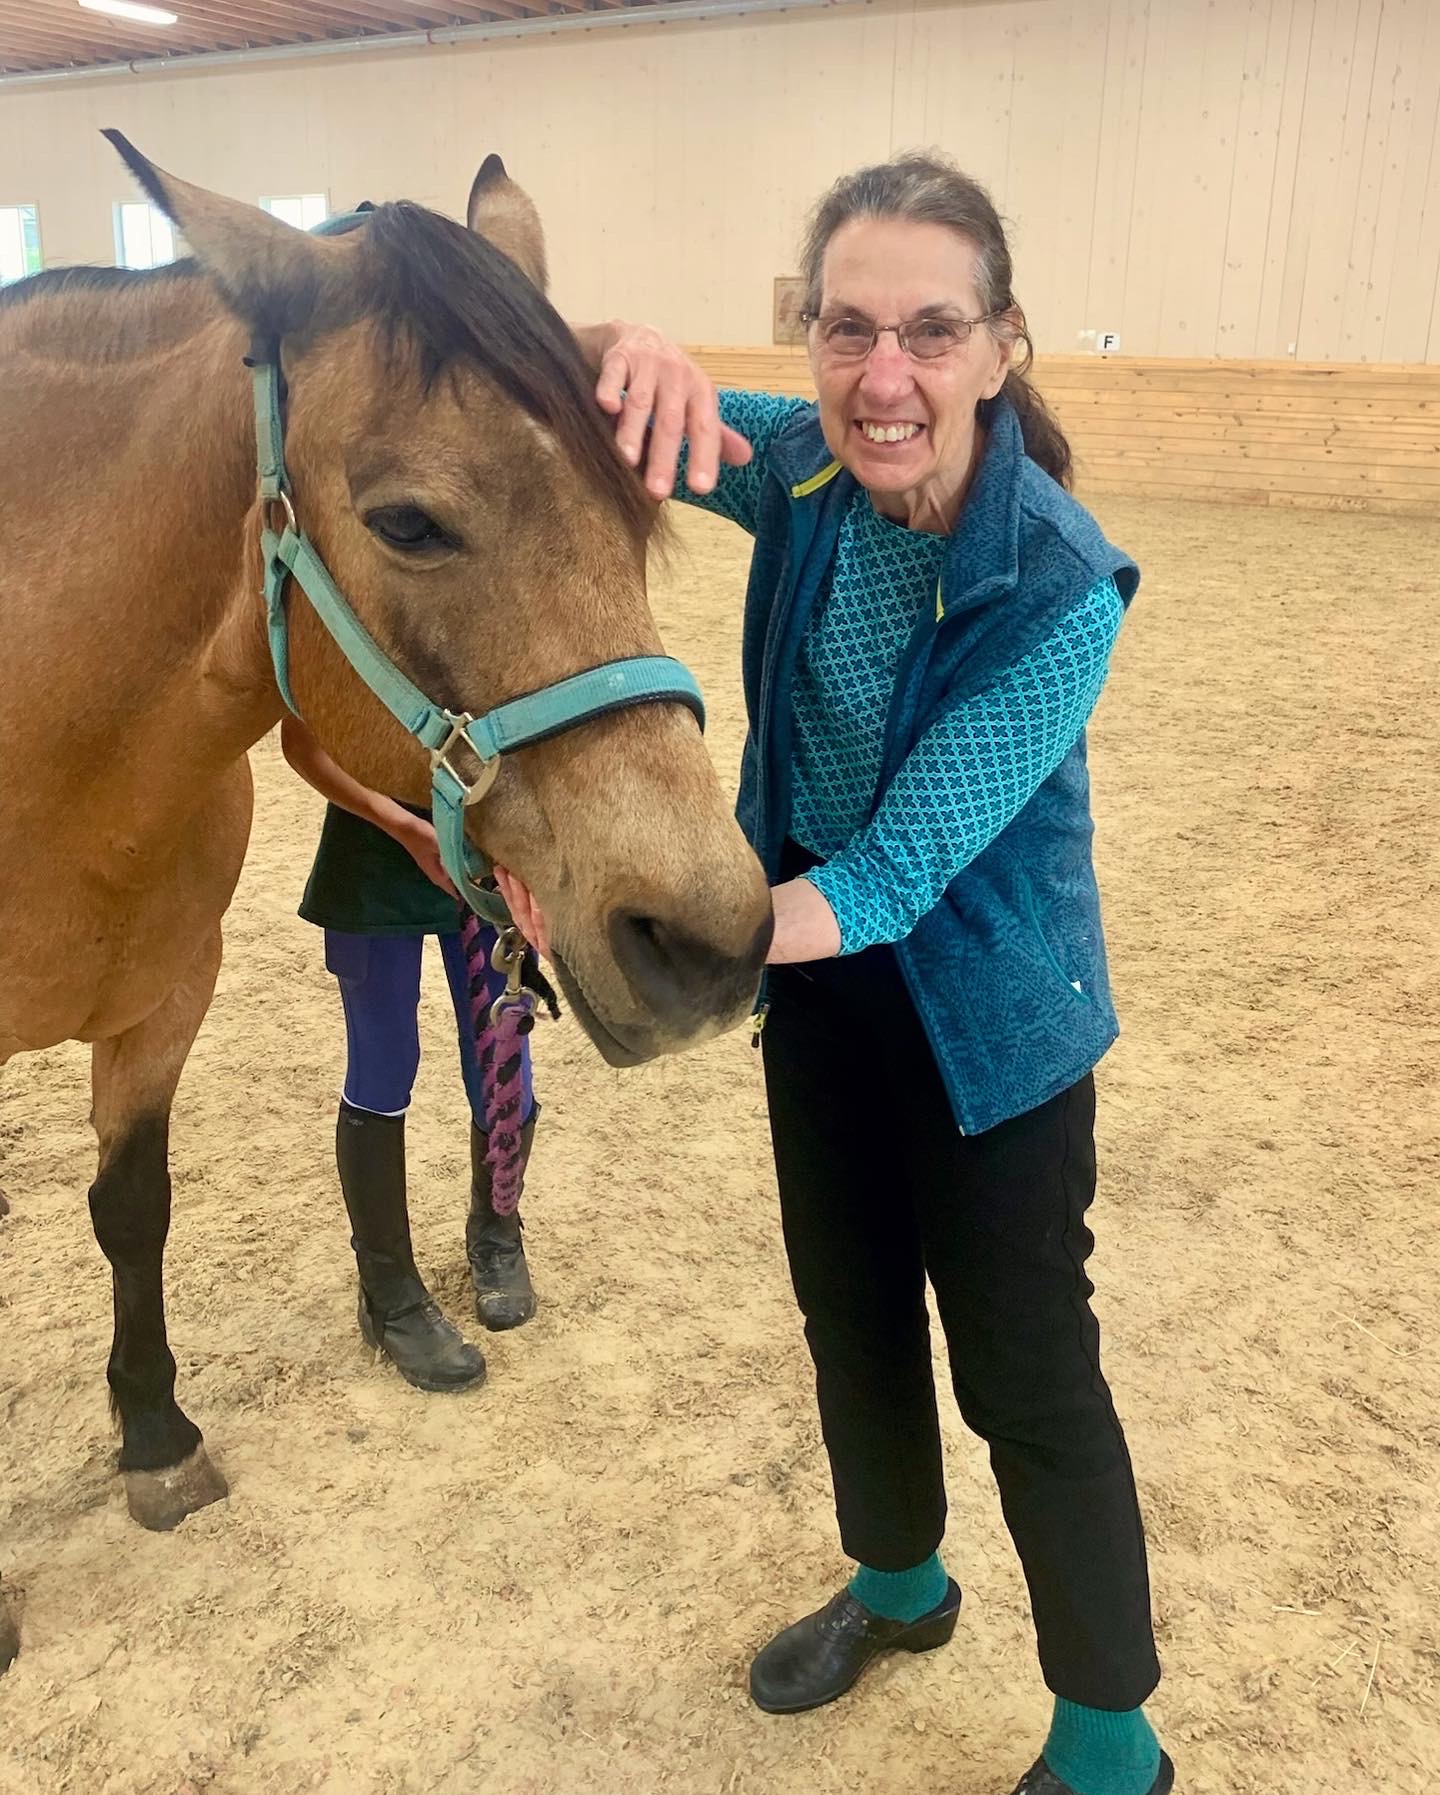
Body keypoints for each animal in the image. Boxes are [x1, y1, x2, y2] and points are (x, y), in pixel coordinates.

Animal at [0, 137, 772, 1672]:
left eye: (641, 505)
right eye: (409, 522)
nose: (709, 942)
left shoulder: (164, 1003)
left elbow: (133, 1206)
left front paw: (156, 1435)